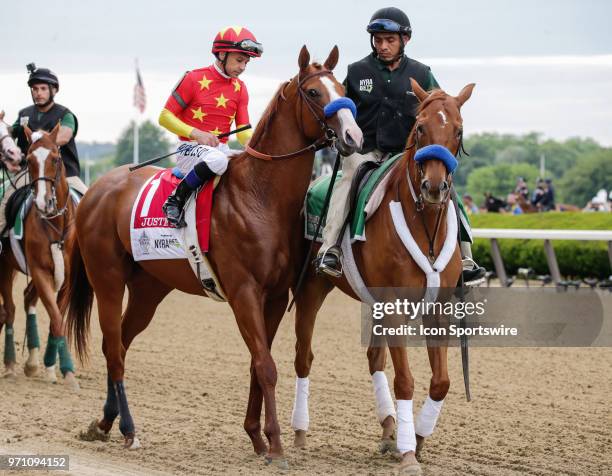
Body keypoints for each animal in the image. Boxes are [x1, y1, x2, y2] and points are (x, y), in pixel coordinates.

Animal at [0, 123, 79, 390]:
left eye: (56, 158)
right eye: (30, 160)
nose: (44, 202)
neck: (55, 223)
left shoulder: (68, 278)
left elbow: (58, 319)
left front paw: (53, 368)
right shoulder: (40, 271)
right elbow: (55, 317)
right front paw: (65, 370)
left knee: (26, 300)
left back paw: (33, 362)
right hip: (6, 266)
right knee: (10, 309)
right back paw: (11, 364)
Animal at [65, 45, 364, 464]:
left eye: (343, 89)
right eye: (314, 93)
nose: (354, 135)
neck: (261, 197)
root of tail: (95, 191)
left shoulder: (275, 296)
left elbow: (258, 364)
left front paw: (256, 436)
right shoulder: (243, 292)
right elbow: (266, 366)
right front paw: (275, 443)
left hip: (148, 289)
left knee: (120, 343)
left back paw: (105, 423)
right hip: (107, 279)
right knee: (113, 348)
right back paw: (128, 429)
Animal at [292, 81, 474, 476]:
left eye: (458, 130)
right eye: (419, 127)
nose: (434, 187)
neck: (426, 225)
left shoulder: (436, 309)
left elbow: (441, 382)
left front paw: (415, 439)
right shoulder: (394, 306)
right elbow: (405, 380)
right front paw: (408, 453)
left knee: (374, 358)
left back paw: (390, 428)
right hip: (312, 289)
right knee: (303, 356)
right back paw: (299, 432)